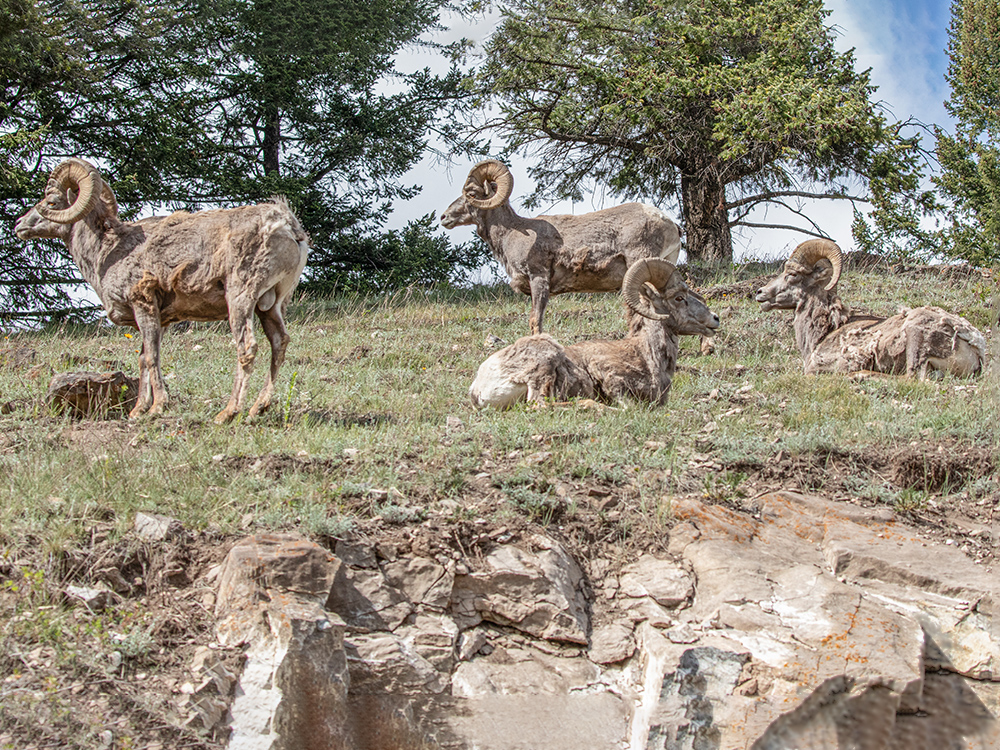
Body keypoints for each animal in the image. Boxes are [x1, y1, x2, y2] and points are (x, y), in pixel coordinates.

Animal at [14, 159, 308, 424]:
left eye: (52, 202)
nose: (19, 225)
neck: (108, 252)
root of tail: (286, 227)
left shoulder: (143, 304)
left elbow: (153, 357)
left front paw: (157, 408)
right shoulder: (160, 318)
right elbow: (144, 358)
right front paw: (138, 411)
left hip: (240, 299)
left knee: (246, 348)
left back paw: (227, 413)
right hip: (270, 306)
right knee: (279, 343)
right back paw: (258, 408)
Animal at [468, 260, 720, 412]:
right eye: (679, 298)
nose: (715, 319)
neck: (647, 355)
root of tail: (479, 389)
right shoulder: (609, 376)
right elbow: (628, 406)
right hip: (546, 360)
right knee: (541, 404)